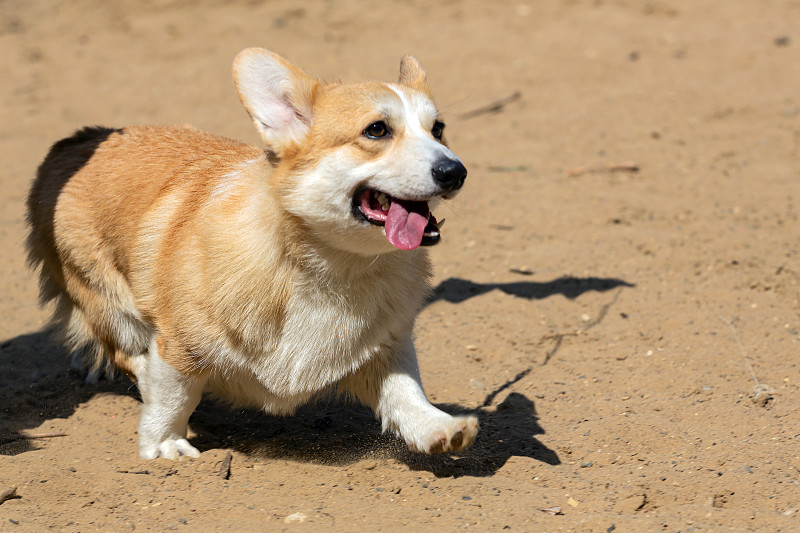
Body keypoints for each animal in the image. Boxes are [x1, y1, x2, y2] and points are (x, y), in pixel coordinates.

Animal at [23, 47, 476, 460]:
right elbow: (172, 397)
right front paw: (164, 444)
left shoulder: (385, 349)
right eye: (377, 130)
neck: (333, 266)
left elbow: (406, 392)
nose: (456, 172)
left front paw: (439, 429)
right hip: (110, 303)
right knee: (126, 353)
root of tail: (78, 139)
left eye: (438, 129)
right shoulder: (180, 345)